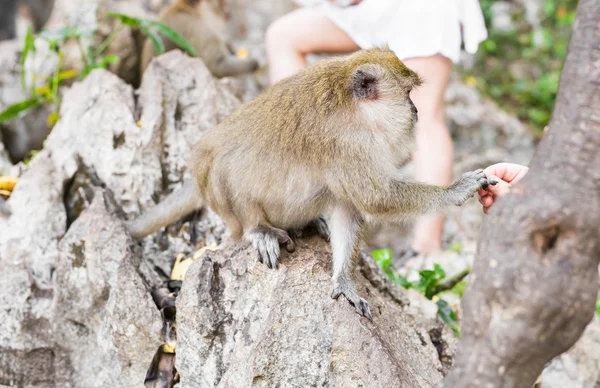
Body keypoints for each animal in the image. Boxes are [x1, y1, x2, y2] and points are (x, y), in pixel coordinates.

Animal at [124, 47, 490, 318]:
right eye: (409, 93)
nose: (415, 111)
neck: (352, 106)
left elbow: (347, 208)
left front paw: (343, 282)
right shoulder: (347, 145)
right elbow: (376, 198)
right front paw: (455, 191)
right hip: (216, 187)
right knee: (225, 171)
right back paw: (258, 228)